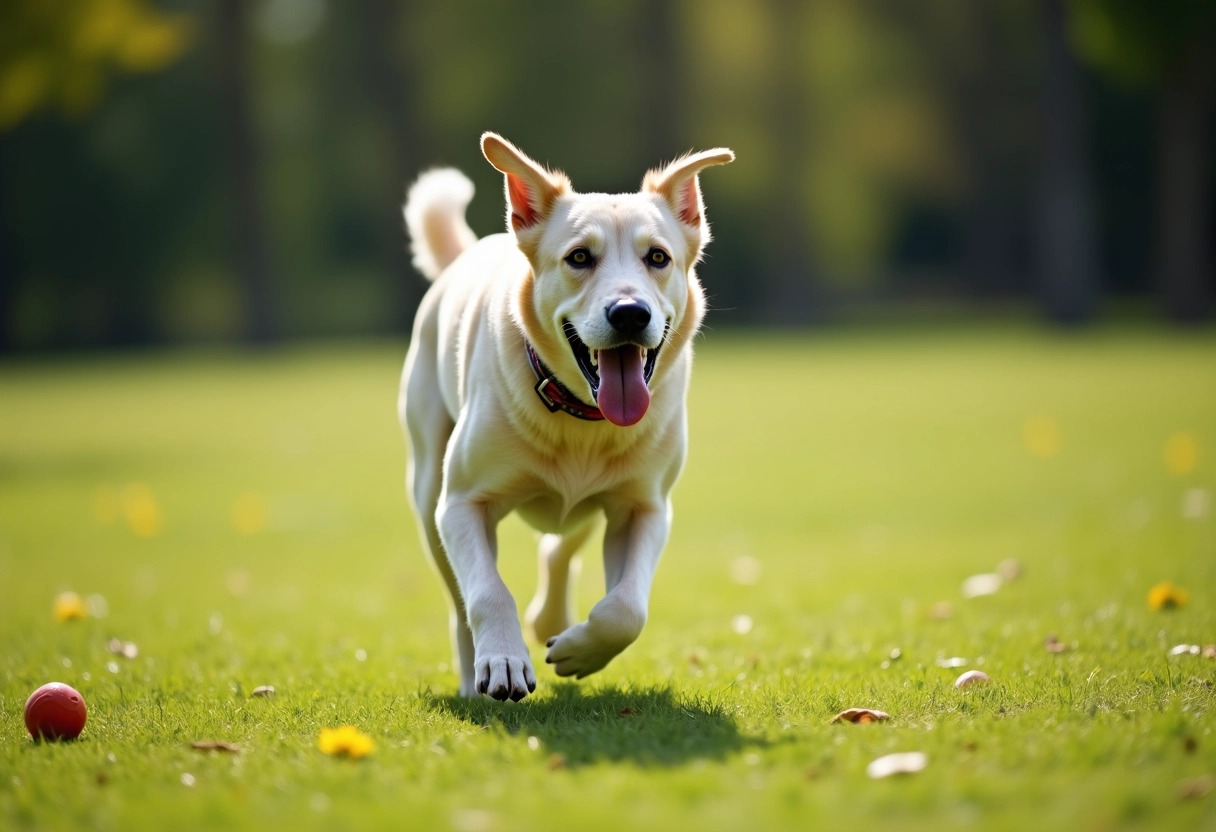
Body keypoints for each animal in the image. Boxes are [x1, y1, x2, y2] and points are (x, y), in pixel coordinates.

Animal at [398, 133, 729, 700]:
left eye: (657, 257)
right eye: (579, 257)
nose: (629, 313)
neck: (582, 417)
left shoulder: (646, 507)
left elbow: (627, 609)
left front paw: (580, 649)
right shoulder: (461, 503)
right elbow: (486, 592)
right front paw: (504, 661)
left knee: (560, 546)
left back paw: (551, 622)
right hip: (426, 489)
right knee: (459, 600)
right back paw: (474, 674)